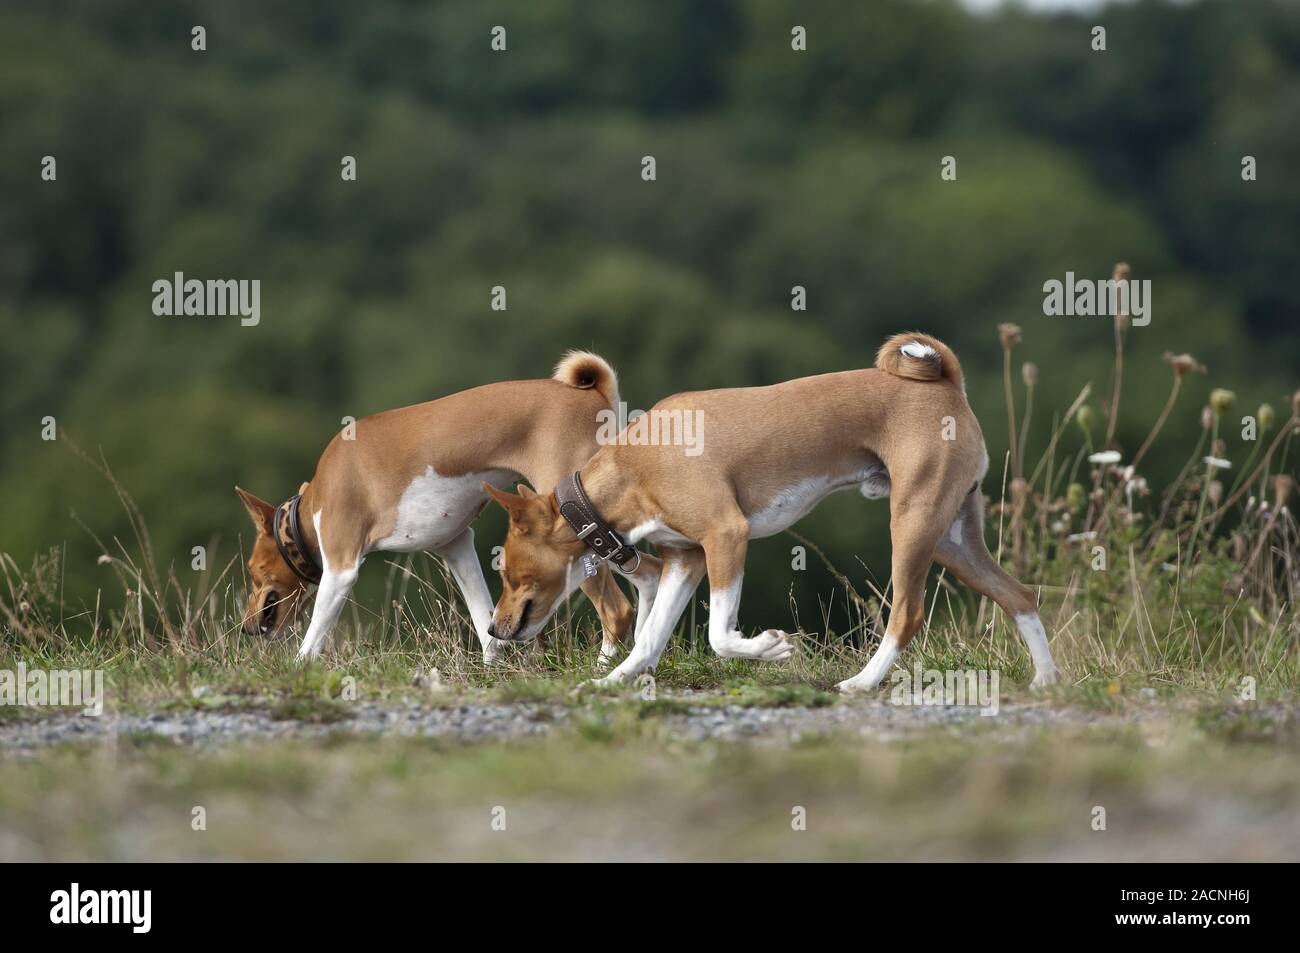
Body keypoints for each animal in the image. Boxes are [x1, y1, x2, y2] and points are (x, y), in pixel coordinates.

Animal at [241, 353, 637, 665]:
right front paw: (491, 672)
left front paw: (296, 670)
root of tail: (594, 394)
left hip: (580, 530)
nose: (245, 627)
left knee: (617, 610)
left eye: (254, 569)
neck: (313, 503)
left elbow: (312, 639)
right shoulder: (458, 548)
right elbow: (486, 624)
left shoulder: (342, 568)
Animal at [483, 335, 1060, 691]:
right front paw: (609, 682)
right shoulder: (686, 558)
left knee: (908, 615)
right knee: (1020, 596)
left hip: (913, 525)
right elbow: (648, 641)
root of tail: (948, 384)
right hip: (952, 537)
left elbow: (718, 636)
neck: (637, 464)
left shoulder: (726, 536)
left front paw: (770, 649)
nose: (495, 629)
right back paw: (1046, 681)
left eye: (512, 575)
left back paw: (862, 682)